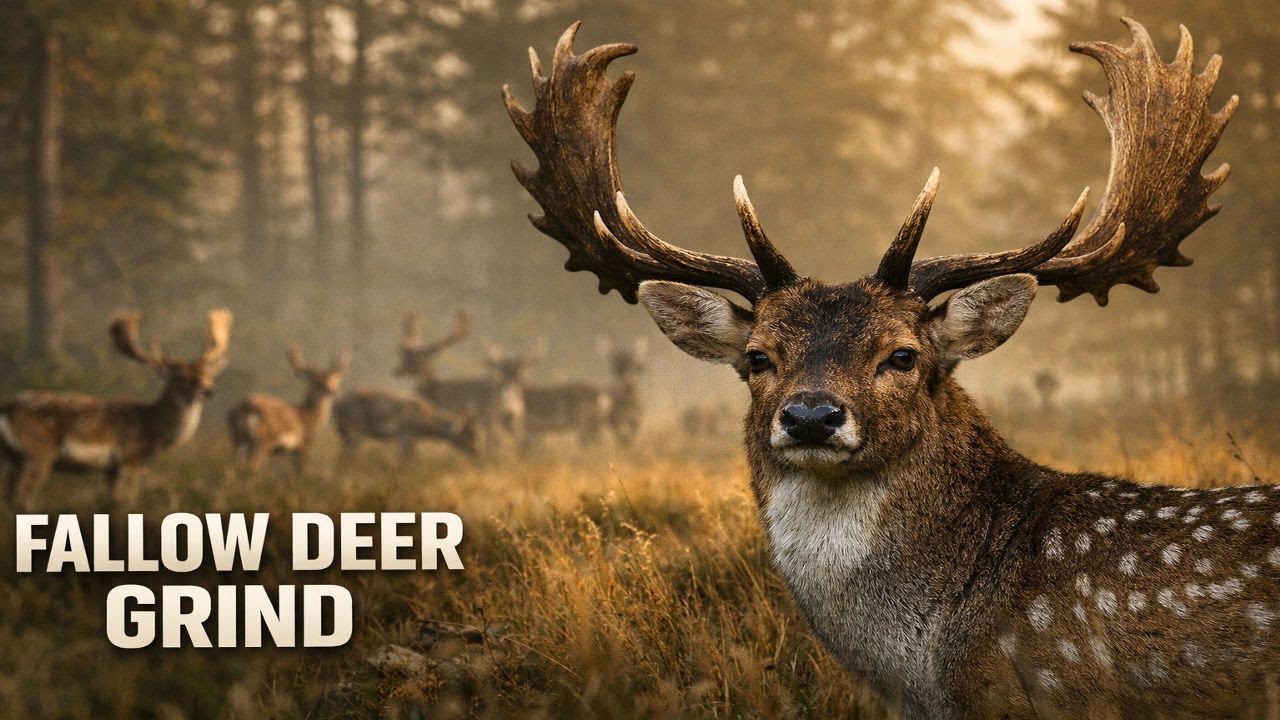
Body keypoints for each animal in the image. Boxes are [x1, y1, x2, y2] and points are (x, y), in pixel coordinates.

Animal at [0, 309, 231, 508]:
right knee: (22, 498)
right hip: (37, 452)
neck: (151, 427)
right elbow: (127, 503)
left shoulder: (111, 469)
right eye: (180, 377)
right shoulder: (128, 458)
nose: (209, 390)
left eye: (208, 375)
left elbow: (112, 503)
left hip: (12, 457)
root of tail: (6, 408)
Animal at [227, 343, 350, 475]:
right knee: (252, 466)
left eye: (333, 380)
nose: (333, 391)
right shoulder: (303, 445)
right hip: (264, 440)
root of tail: (247, 407)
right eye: (316, 382)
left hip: (237, 437)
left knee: (231, 467)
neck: (308, 418)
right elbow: (299, 471)